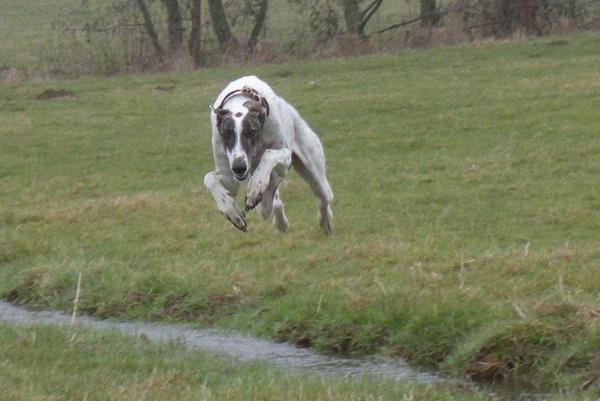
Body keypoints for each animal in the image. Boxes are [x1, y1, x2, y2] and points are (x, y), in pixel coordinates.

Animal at [203, 74, 332, 234]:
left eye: (251, 132)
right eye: (226, 133)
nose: (239, 167)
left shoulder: (285, 158)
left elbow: (269, 154)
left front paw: (255, 187)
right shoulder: (229, 177)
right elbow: (209, 178)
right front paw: (230, 210)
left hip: (313, 170)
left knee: (324, 196)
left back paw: (324, 220)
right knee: (270, 204)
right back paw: (279, 219)